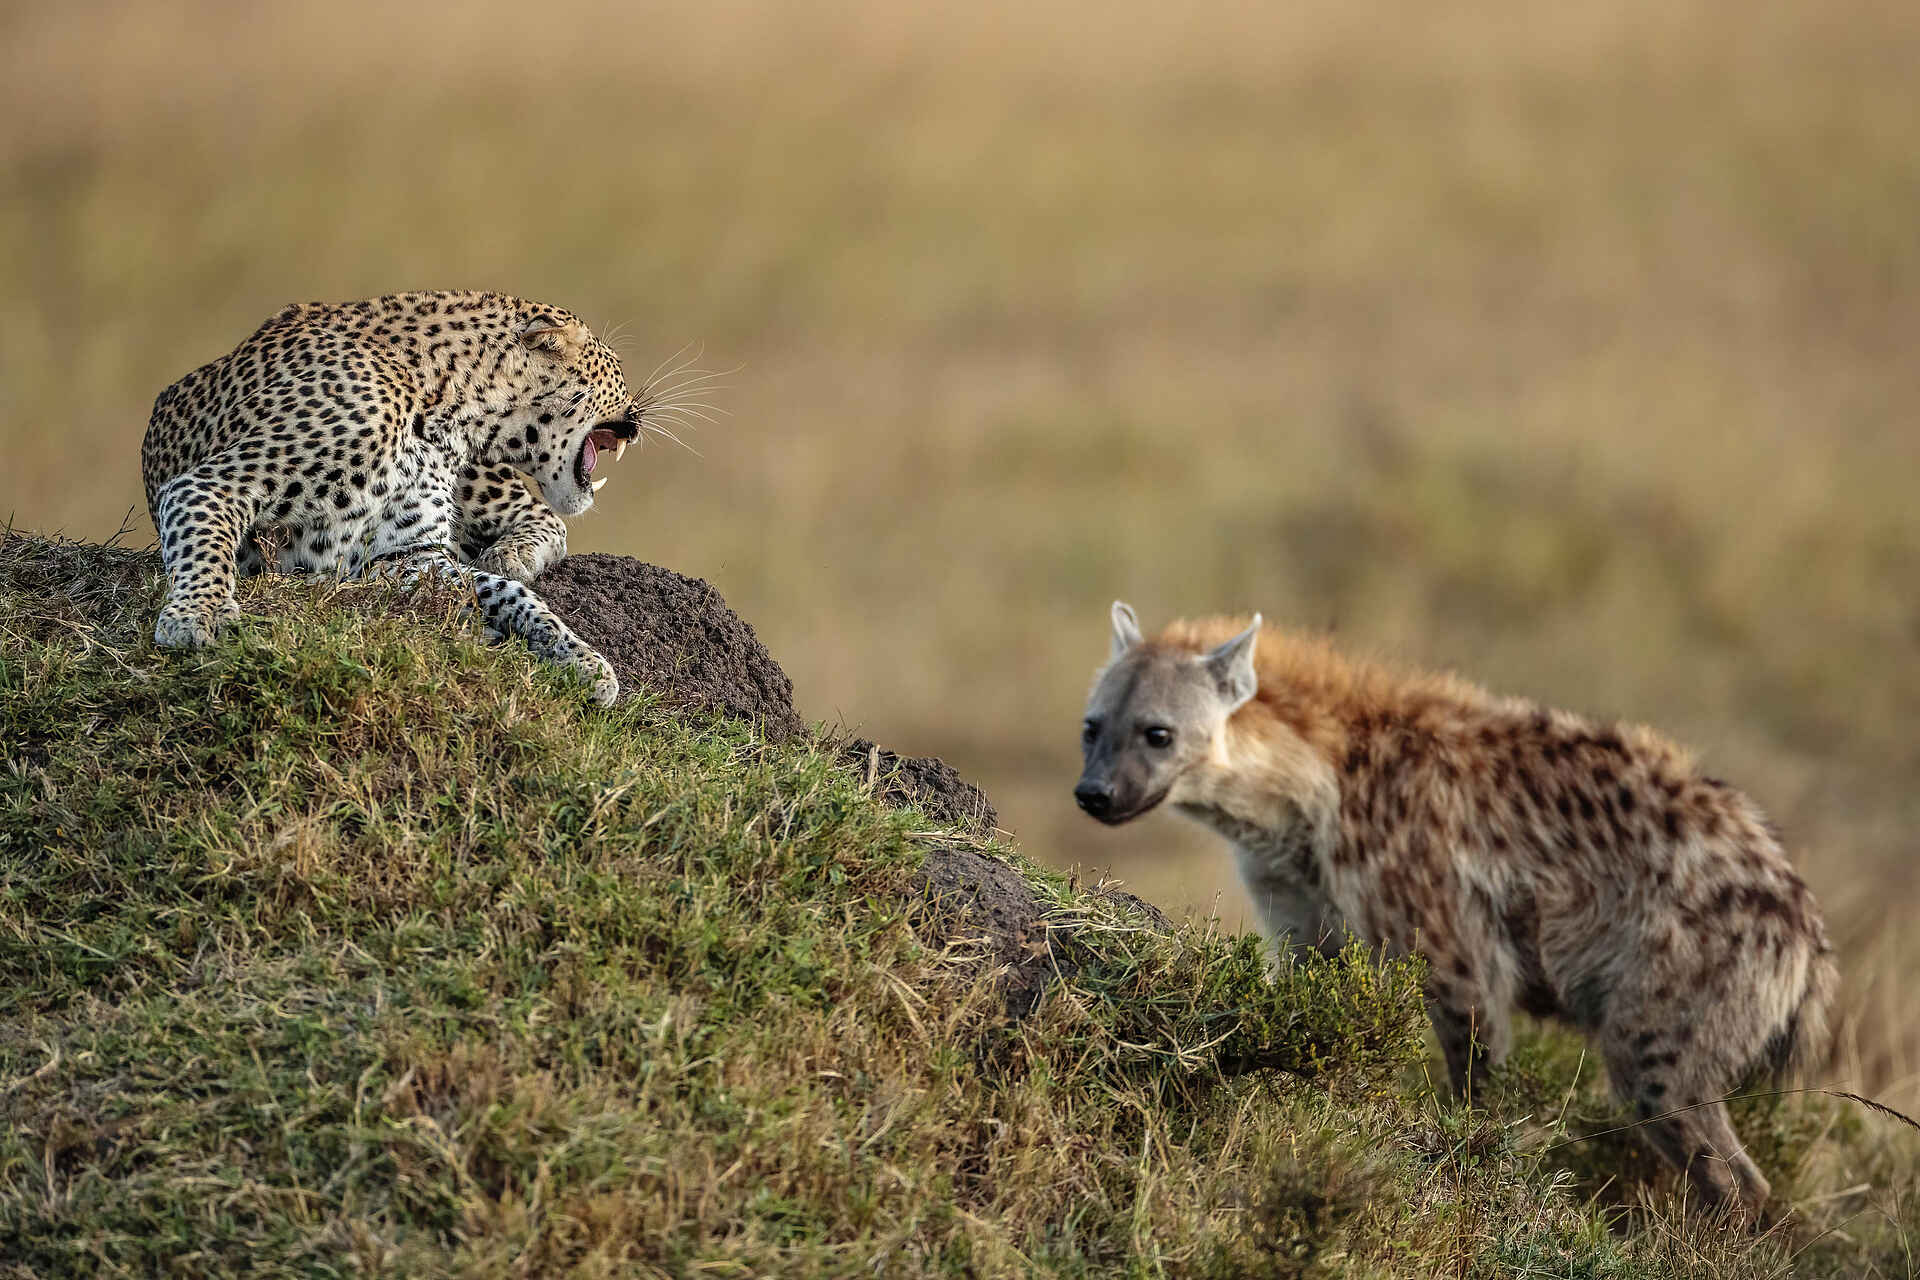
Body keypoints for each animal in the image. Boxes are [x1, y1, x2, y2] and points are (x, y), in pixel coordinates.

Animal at [141, 290, 661, 705]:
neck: (447, 403)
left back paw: (513, 554)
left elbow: (506, 590)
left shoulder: (405, 555)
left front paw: (580, 657)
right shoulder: (212, 486)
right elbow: (207, 547)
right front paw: (200, 615)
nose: (639, 418)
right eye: (617, 370)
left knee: (541, 517)